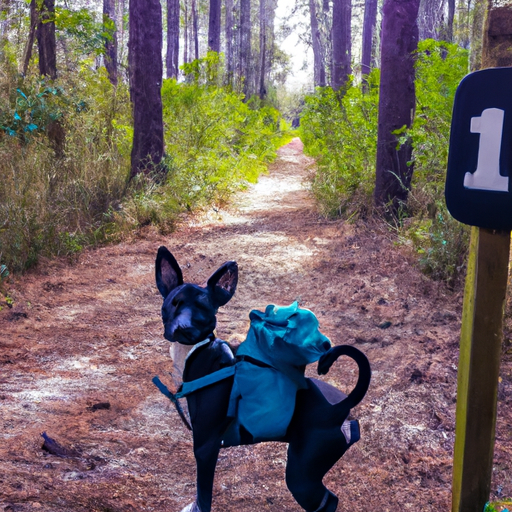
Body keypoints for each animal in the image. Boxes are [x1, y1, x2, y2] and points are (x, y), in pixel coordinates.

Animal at [154, 247, 370, 512]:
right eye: (174, 303)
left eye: (204, 309)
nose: (184, 328)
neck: (198, 351)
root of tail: (339, 407)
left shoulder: (205, 447)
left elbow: (202, 497)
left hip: (301, 473)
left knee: (327, 502)